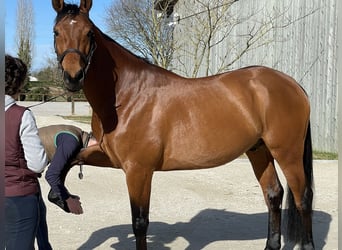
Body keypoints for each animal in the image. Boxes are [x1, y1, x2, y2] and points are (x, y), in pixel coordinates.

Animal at [51, 0, 316, 249]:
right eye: (56, 32)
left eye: (89, 33)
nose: (73, 77)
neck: (127, 96)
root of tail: (293, 84)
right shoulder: (111, 157)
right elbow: (72, 158)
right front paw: (58, 196)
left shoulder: (138, 170)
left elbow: (140, 223)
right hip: (259, 150)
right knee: (273, 194)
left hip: (287, 153)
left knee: (303, 198)